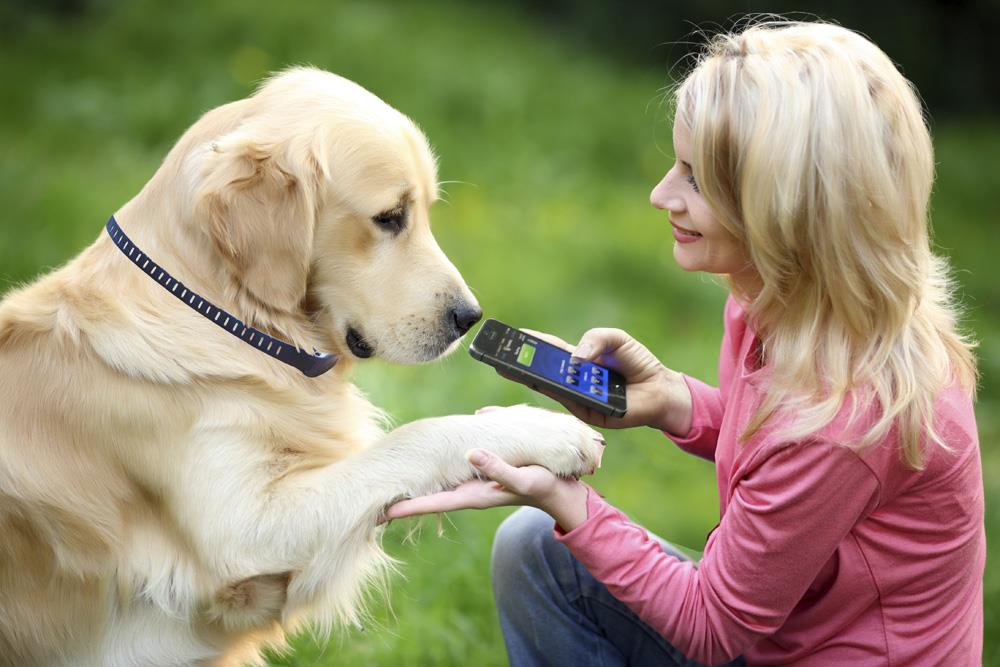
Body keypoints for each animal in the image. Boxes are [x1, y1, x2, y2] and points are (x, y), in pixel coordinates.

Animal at [0, 69, 600, 667]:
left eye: (426, 211)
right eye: (390, 218)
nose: (470, 318)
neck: (222, 318)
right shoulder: (243, 532)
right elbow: (414, 438)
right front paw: (546, 430)